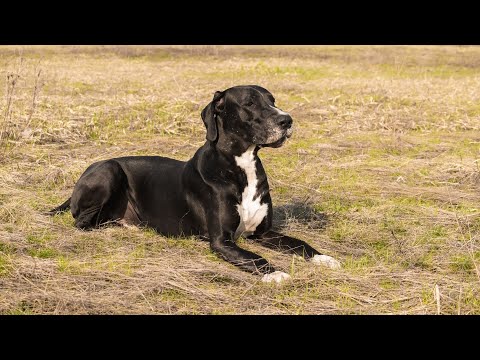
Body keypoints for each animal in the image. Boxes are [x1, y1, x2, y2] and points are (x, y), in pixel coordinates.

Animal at [49, 86, 342, 282]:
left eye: (272, 100)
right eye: (249, 102)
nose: (287, 120)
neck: (241, 164)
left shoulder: (263, 233)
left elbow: (299, 243)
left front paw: (325, 258)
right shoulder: (221, 241)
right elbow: (255, 257)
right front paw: (277, 274)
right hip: (109, 170)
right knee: (83, 221)